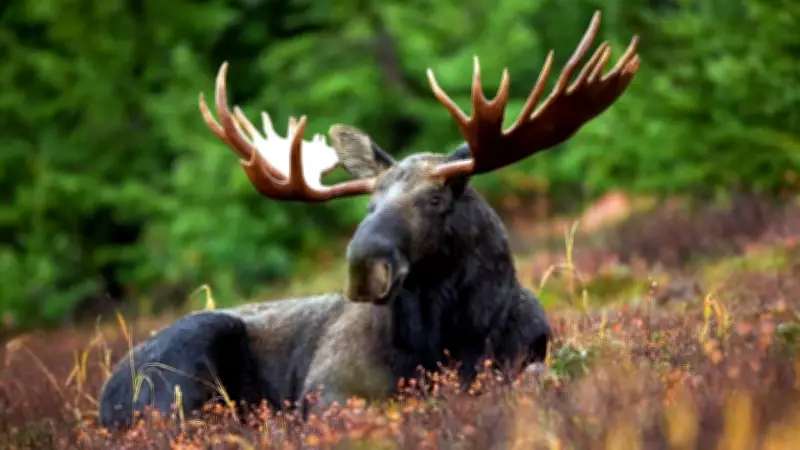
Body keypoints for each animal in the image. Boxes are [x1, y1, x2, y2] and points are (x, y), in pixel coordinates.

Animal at [98, 11, 639, 429]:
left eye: (436, 199)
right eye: (369, 205)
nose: (363, 266)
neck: (454, 335)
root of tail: (105, 399)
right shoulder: (327, 389)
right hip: (181, 369)